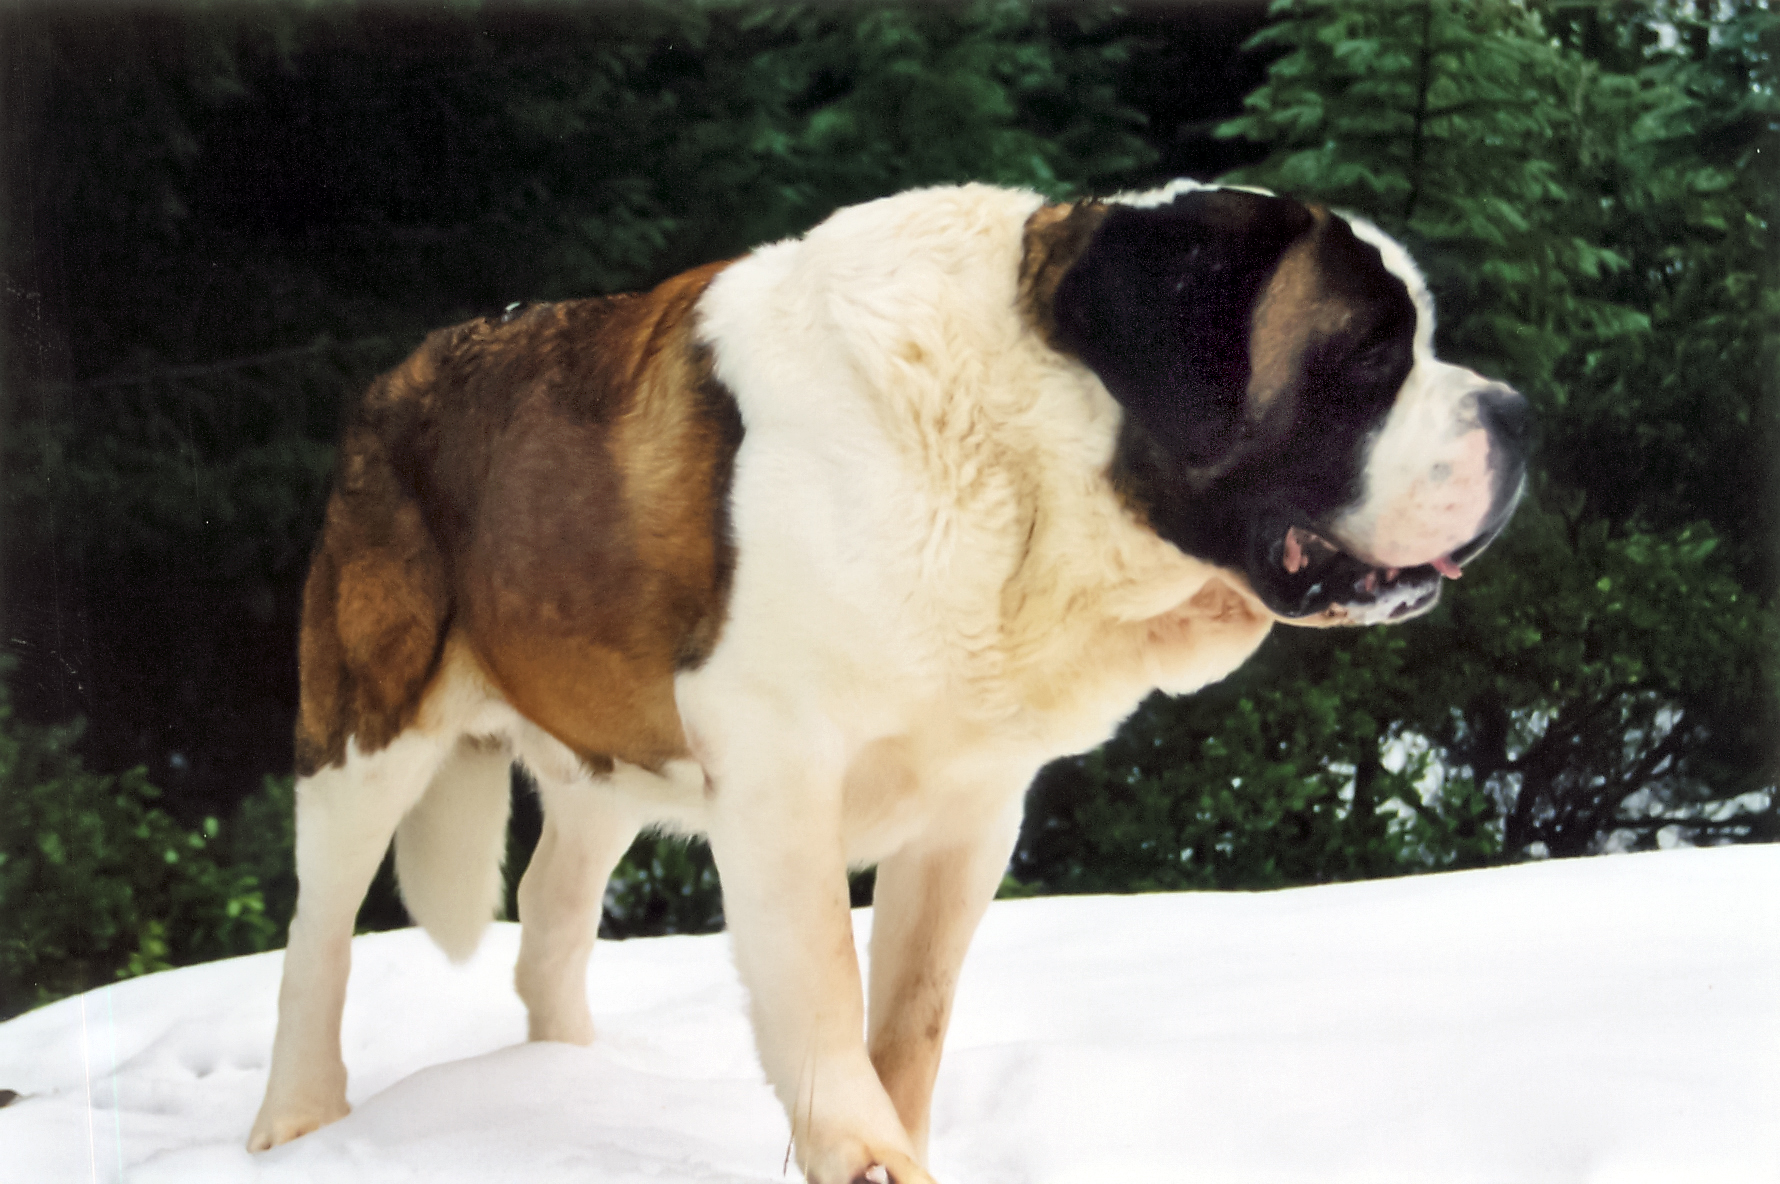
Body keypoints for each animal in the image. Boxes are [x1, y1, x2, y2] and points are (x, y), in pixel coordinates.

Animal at [250, 179, 1530, 1175]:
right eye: (1368, 357)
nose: (1519, 412)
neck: (1019, 465)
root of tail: (399, 376)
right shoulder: (777, 776)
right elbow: (821, 980)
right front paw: (863, 1154)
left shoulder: (970, 805)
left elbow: (912, 1009)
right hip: (366, 729)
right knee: (320, 930)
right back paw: (297, 1119)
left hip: (607, 750)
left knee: (551, 910)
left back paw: (561, 1080)